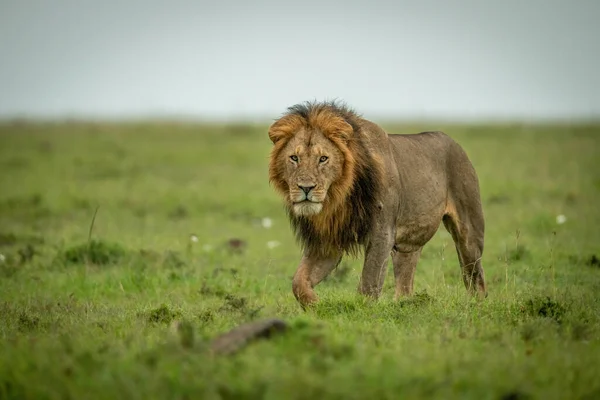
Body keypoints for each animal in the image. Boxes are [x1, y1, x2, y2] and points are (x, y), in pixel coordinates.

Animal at [268, 100, 488, 306]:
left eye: (323, 159)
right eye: (294, 158)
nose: (306, 188)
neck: (340, 197)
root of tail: (453, 142)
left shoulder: (382, 232)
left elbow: (369, 282)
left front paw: (361, 311)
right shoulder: (328, 241)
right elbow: (298, 282)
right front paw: (317, 306)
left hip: (469, 232)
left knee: (475, 276)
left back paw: (476, 305)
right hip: (407, 244)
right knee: (406, 278)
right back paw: (404, 305)